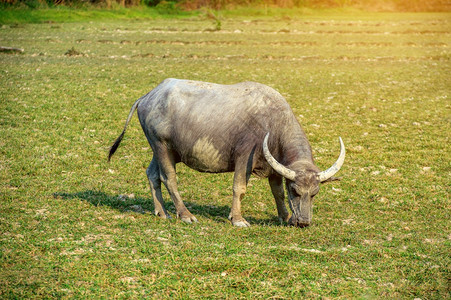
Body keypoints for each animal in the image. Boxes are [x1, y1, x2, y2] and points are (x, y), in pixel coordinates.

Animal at [109, 78, 346, 226]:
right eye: (295, 191)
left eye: (314, 193)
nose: (303, 222)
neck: (273, 123)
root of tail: (148, 96)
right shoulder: (244, 158)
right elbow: (239, 188)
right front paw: (238, 219)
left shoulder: (275, 168)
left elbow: (277, 192)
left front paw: (284, 217)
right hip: (162, 147)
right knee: (168, 179)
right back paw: (185, 215)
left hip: (160, 150)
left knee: (152, 175)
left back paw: (162, 212)